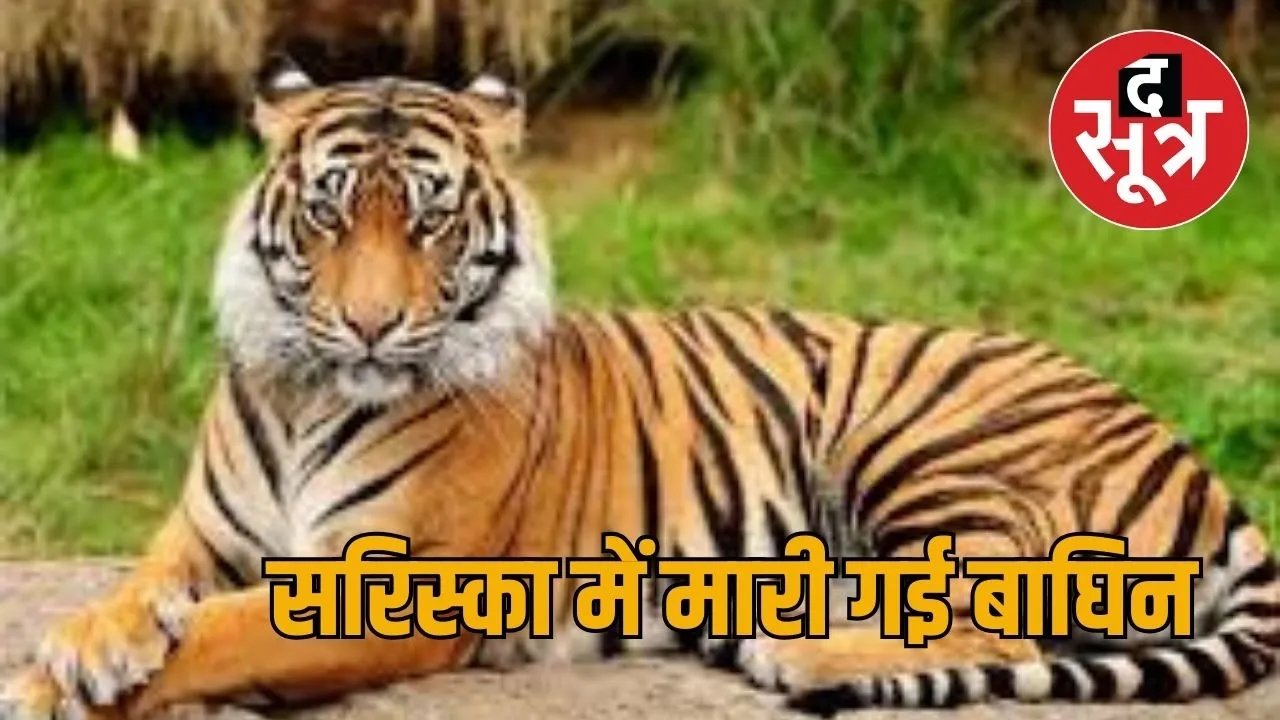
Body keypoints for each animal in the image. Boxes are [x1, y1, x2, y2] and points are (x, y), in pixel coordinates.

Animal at [3, 57, 1278, 720]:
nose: (370, 324)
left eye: (427, 219)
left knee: (984, 611)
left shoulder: (385, 588)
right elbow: (143, 592)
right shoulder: (200, 535)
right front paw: (81, 644)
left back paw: (795, 653)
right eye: (328, 214)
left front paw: (48, 683)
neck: (309, 389)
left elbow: (217, 635)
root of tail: (1189, 459)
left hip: (925, 439)